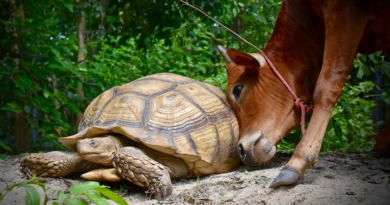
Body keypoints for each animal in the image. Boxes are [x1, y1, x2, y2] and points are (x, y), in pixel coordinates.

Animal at [218, 0, 390, 188]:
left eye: (237, 90)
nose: (241, 150)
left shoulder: (345, 12)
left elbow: (327, 85)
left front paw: (297, 162)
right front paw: (379, 149)